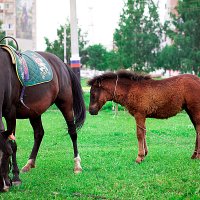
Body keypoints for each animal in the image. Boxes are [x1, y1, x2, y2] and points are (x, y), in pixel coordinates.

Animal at [0, 38, 85, 192]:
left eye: (6, 155)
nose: (3, 186)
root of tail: (62, 64)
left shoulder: (10, 113)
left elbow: (12, 144)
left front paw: (15, 177)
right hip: (34, 111)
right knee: (39, 133)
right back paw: (29, 163)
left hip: (66, 103)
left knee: (73, 132)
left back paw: (77, 165)